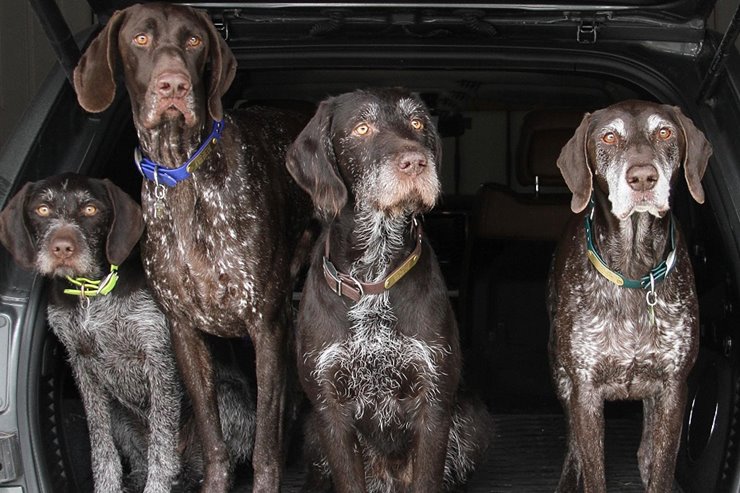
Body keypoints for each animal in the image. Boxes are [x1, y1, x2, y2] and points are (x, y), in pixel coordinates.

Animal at [0, 174, 256, 492]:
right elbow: (102, 448)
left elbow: (162, 446)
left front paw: (157, 486)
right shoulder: (81, 365)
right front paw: (107, 486)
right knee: (140, 458)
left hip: (224, 398)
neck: (93, 293)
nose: (62, 248)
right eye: (42, 209)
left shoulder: (158, 358)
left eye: (91, 209)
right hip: (119, 413)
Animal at [69, 3, 312, 488]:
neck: (182, 167)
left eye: (194, 41)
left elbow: (264, 445)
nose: (174, 85)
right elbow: (211, 435)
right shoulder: (183, 332)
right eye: (140, 39)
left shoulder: (265, 328)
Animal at [288, 89, 492, 492]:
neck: (374, 274)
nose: (415, 162)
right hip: (313, 432)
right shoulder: (330, 410)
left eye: (416, 123)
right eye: (362, 128)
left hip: (473, 423)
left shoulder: (434, 403)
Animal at [548, 101, 712, 492]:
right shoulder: (585, 390)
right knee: (573, 446)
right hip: (561, 376)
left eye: (664, 132)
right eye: (609, 137)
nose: (642, 178)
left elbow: (661, 466)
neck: (634, 271)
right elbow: (592, 469)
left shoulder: (673, 388)